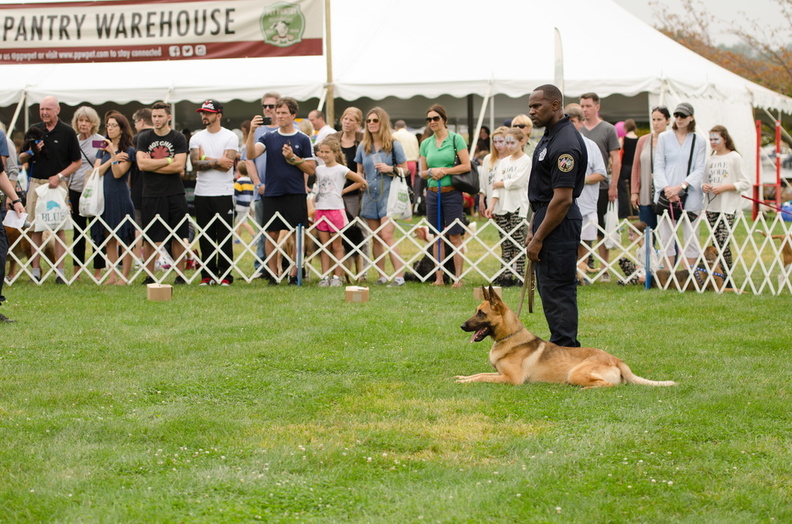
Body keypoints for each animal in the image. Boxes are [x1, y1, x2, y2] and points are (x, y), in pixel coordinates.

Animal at [458, 284, 676, 386]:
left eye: (481, 313)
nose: (461, 326)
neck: (510, 337)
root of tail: (617, 360)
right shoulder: (499, 373)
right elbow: (479, 374)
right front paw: (462, 377)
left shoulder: (512, 379)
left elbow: (480, 378)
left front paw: (464, 382)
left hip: (575, 373)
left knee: (608, 385)